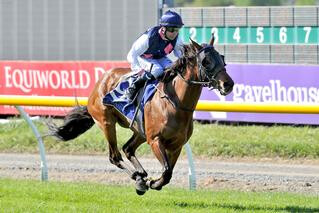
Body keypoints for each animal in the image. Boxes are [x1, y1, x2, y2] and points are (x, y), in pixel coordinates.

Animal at [50, 35, 235, 195]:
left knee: (128, 148)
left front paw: (153, 182)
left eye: (222, 58)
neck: (175, 103)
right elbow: (166, 170)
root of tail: (100, 83)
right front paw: (151, 183)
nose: (228, 84)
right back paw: (137, 178)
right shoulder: (155, 140)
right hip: (106, 123)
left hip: (139, 130)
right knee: (115, 156)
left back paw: (141, 176)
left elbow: (169, 172)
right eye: (206, 61)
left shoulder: (177, 145)